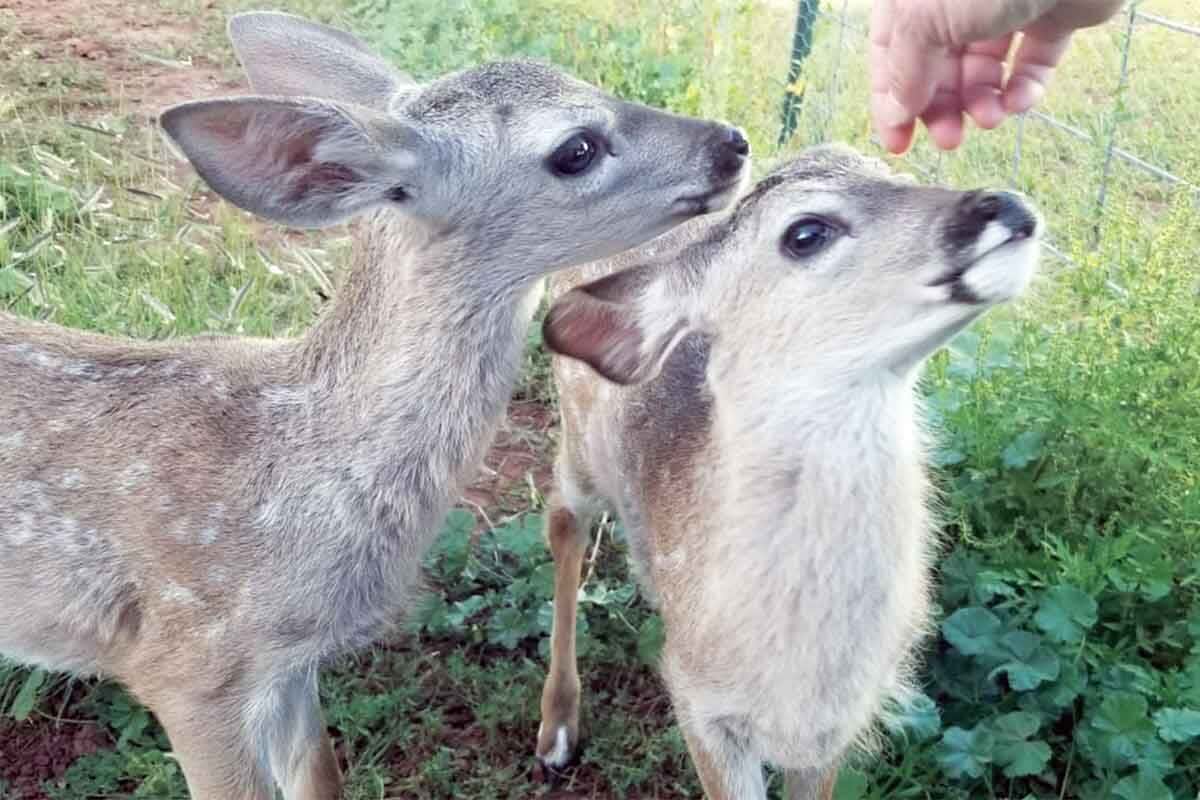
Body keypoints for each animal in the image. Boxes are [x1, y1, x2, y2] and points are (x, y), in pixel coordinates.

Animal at [534, 143, 1042, 799]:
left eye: (898, 174)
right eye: (805, 232)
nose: (1006, 204)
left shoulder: (831, 730)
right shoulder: (701, 706)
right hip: (576, 434)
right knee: (563, 521)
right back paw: (557, 727)